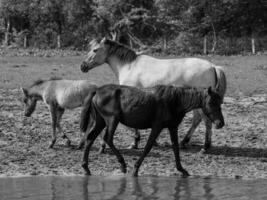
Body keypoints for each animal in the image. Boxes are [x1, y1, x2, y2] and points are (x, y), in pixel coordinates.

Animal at [80, 37, 227, 151]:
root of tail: (213, 66)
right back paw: (184, 142)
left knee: (206, 121)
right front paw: (152, 142)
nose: (82, 66)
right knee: (197, 120)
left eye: (95, 50)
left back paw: (205, 147)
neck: (129, 66)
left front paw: (135, 142)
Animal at [80, 84, 225, 177]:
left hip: (101, 121)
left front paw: (182, 170)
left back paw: (86, 168)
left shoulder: (172, 127)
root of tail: (97, 91)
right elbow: (148, 146)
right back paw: (122, 165)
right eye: (211, 102)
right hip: (111, 120)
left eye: (220, 102)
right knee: (108, 138)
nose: (221, 123)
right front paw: (136, 169)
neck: (175, 101)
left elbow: (176, 148)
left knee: (90, 138)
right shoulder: (157, 126)